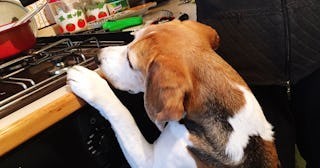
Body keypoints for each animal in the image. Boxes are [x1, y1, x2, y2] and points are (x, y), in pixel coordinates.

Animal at [67, 20, 280, 167]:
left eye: (130, 61)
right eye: (133, 38)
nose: (97, 57)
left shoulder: (150, 161)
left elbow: (124, 116)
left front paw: (90, 83)